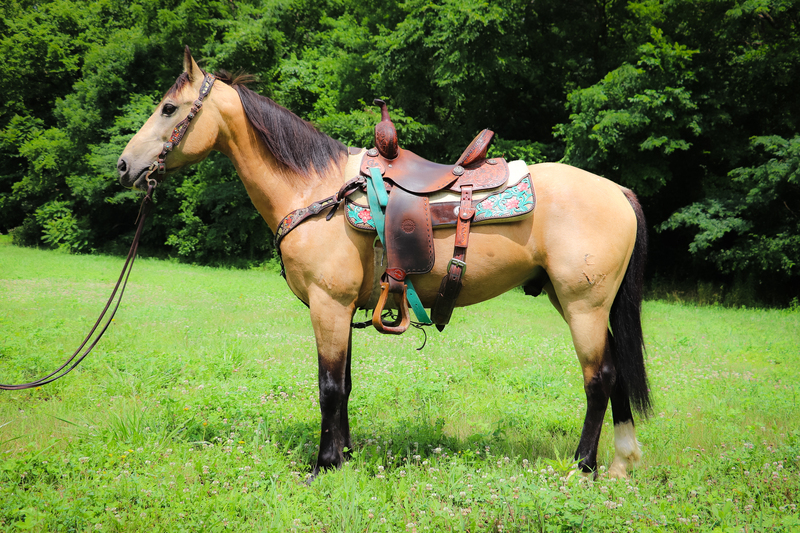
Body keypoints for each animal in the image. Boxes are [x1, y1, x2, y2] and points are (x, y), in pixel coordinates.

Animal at [117, 47, 650, 479]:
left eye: (169, 108)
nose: (124, 166)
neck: (315, 192)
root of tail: (617, 191)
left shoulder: (327, 305)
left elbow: (329, 386)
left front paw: (323, 466)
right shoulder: (342, 307)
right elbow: (347, 384)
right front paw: (345, 456)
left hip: (583, 306)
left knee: (600, 378)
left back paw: (584, 467)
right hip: (578, 303)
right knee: (617, 372)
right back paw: (621, 463)